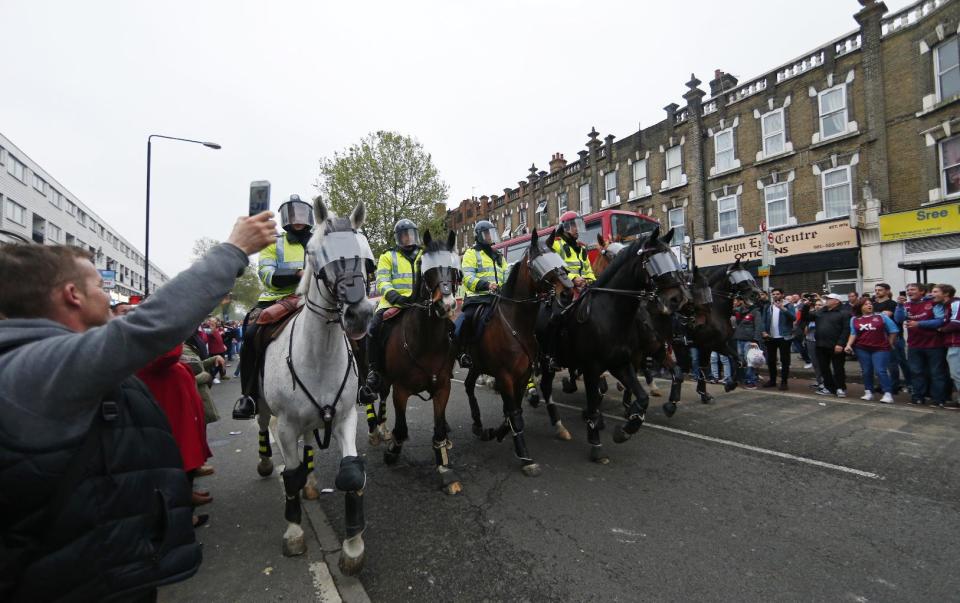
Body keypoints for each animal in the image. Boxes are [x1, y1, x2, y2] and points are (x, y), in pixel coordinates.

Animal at [255, 198, 376, 576]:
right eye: (314, 252)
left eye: (365, 254)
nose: (359, 314)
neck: (319, 354)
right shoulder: (285, 425)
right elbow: (290, 475)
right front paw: (294, 532)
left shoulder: (346, 416)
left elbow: (350, 474)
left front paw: (353, 547)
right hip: (264, 409)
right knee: (263, 428)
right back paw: (266, 465)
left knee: (308, 439)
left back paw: (310, 484)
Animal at [368, 231, 464, 496]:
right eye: (427, 269)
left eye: (454, 269)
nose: (446, 305)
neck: (426, 341)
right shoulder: (401, 390)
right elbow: (402, 428)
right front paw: (392, 452)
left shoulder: (442, 387)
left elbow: (438, 428)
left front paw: (444, 468)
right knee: (376, 391)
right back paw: (378, 430)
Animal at [464, 229, 568, 478]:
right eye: (539, 262)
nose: (568, 292)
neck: (515, 323)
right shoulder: (505, 376)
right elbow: (514, 413)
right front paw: (525, 457)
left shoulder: (522, 374)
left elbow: (514, 411)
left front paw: (499, 432)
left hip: (477, 365)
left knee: (469, 385)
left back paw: (480, 427)